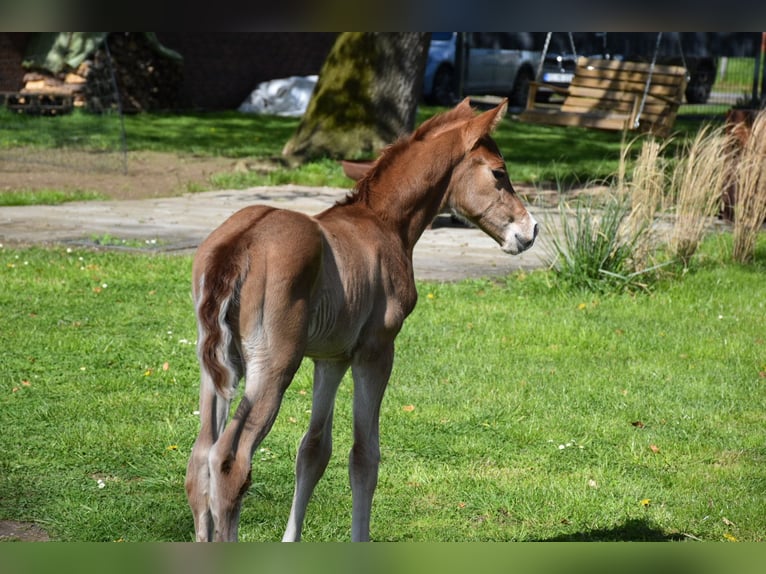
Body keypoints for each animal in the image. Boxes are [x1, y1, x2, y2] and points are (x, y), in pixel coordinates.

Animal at [186, 97, 540, 544]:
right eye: (499, 173)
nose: (531, 230)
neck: (383, 223)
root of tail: (237, 244)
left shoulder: (331, 358)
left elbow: (313, 450)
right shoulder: (376, 351)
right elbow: (364, 455)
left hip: (217, 365)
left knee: (199, 457)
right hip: (274, 365)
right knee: (230, 460)